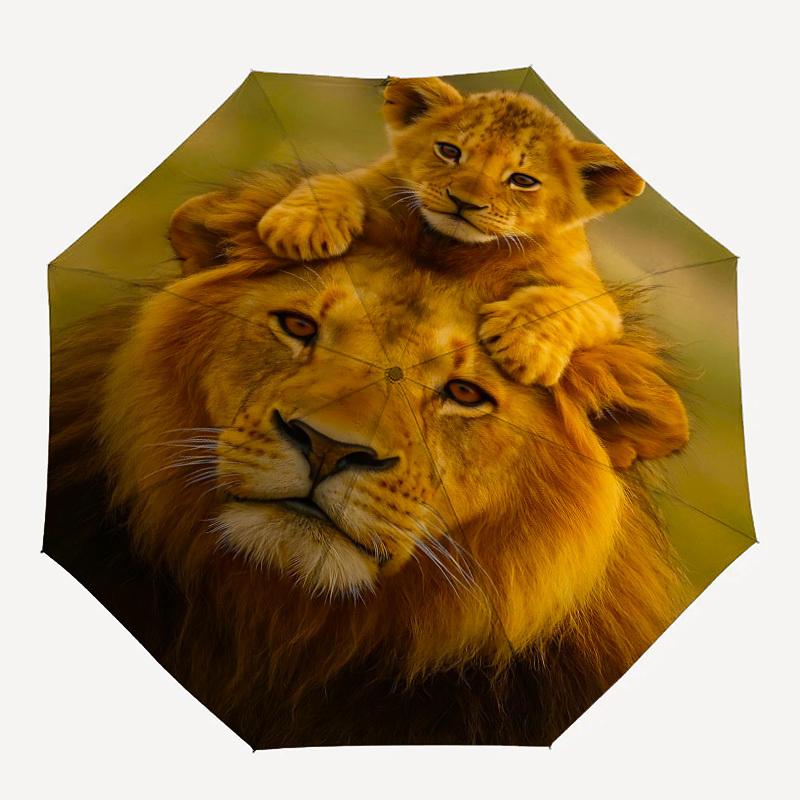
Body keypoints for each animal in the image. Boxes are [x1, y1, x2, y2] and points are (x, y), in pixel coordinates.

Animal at [257, 77, 645, 386]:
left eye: (522, 180)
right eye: (449, 151)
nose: (463, 202)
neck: (451, 244)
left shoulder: (593, 294)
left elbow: (568, 304)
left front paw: (525, 349)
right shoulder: (377, 181)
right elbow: (334, 182)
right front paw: (299, 228)